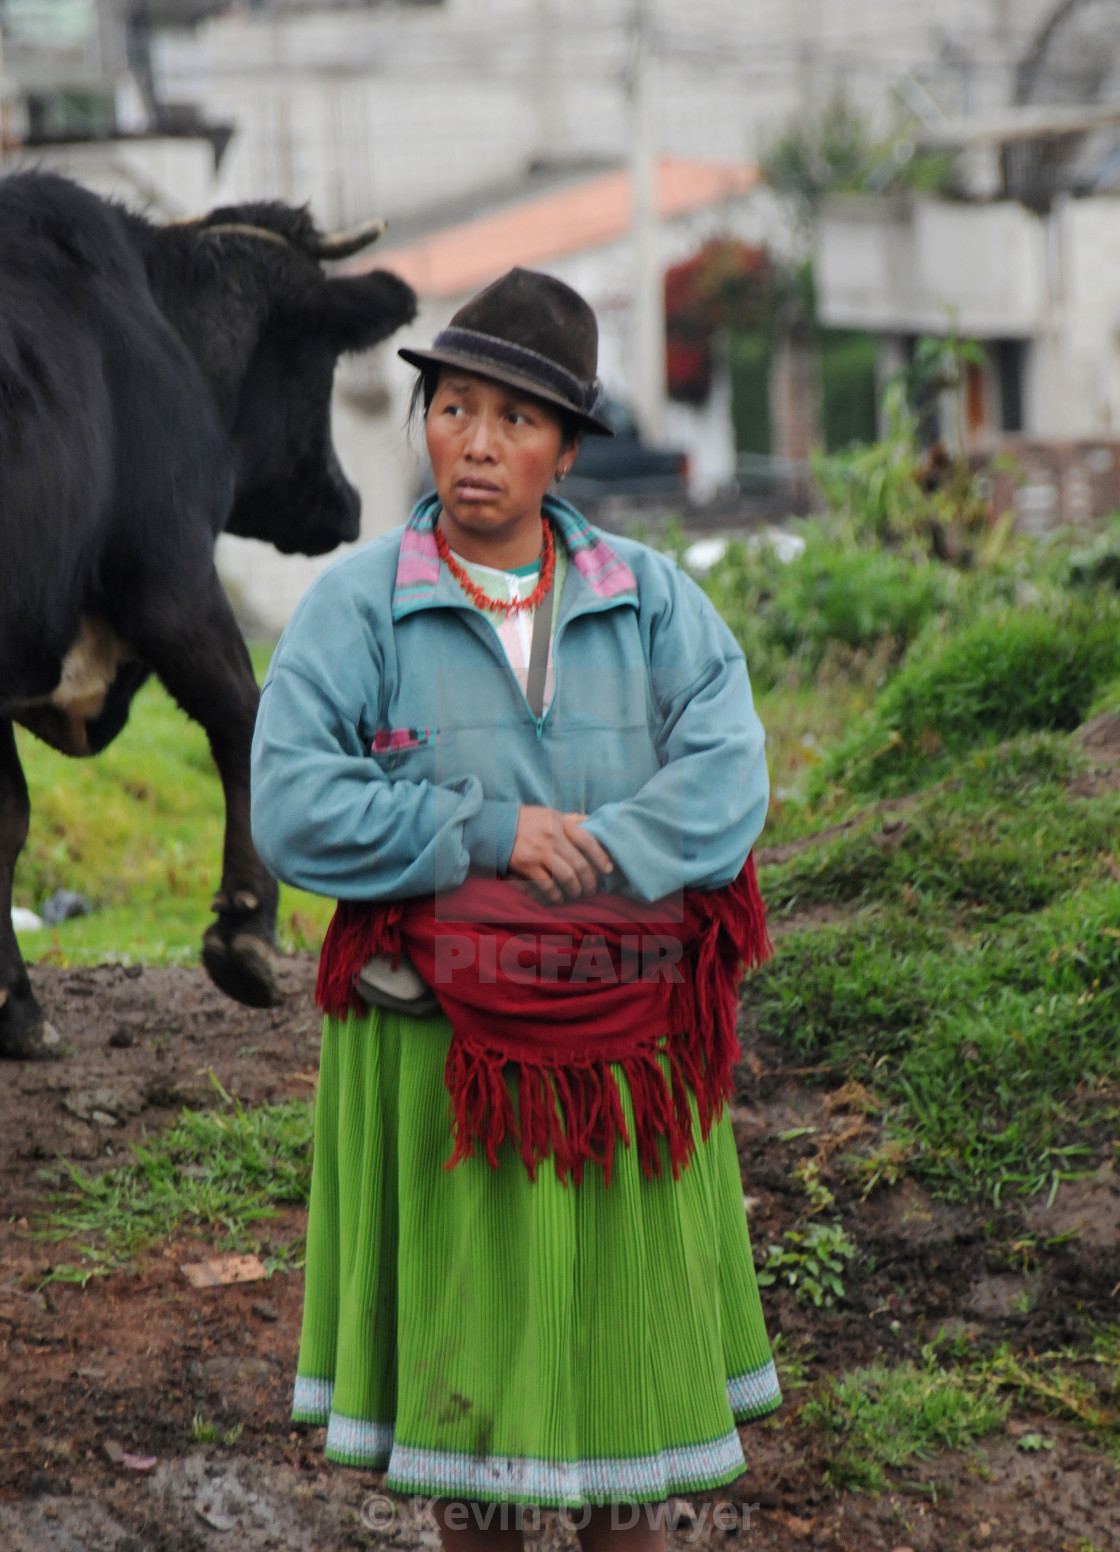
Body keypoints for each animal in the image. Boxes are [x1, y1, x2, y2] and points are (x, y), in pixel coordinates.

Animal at [0, 176, 415, 1061]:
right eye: (322, 363)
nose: (348, 503)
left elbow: (7, 815)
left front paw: (13, 1006)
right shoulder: (172, 578)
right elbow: (245, 718)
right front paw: (245, 932)